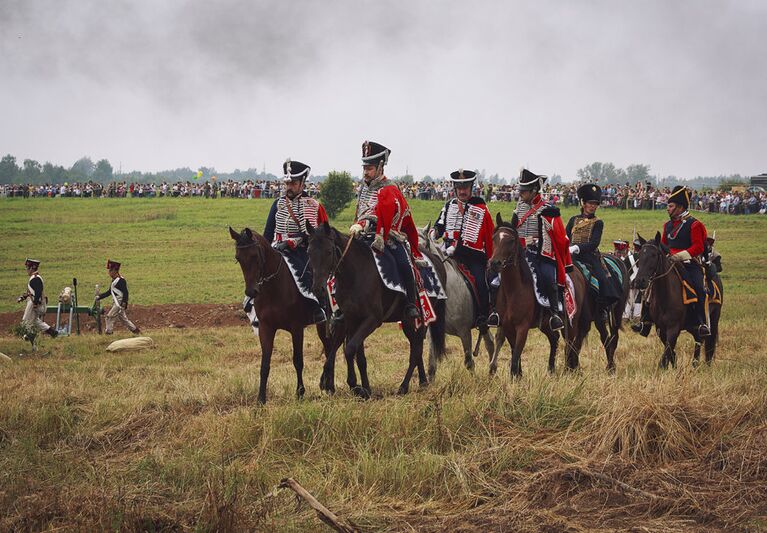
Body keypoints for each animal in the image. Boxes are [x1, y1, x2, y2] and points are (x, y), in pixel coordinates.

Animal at [230, 224, 344, 404]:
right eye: (238, 258)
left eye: (255, 256)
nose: (251, 291)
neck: (274, 288)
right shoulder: (266, 328)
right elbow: (265, 364)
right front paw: (261, 399)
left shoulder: (296, 329)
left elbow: (298, 361)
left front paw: (300, 393)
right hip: (322, 325)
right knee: (328, 348)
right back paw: (328, 386)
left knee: (332, 348)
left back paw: (330, 387)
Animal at [306, 218, 448, 396]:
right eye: (309, 252)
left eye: (329, 251)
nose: (318, 289)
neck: (355, 273)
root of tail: (436, 261)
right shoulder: (351, 319)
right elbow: (356, 354)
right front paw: (361, 387)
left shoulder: (372, 320)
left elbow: (349, 349)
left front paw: (358, 387)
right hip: (406, 321)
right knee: (416, 347)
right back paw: (422, 382)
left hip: (420, 320)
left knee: (416, 349)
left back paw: (403, 387)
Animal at [416, 222, 496, 380]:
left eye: (423, 247)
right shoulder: (432, 332)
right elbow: (431, 365)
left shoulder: (464, 331)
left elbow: (469, 362)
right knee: (490, 343)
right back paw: (491, 373)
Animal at [492, 214, 588, 376]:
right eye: (494, 238)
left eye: (511, 240)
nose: (494, 263)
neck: (513, 290)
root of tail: (577, 272)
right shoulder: (507, 326)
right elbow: (514, 354)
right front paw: (518, 376)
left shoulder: (522, 327)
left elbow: (516, 356)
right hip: (545, 324)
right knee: (554, 339)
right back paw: (551, 369)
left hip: (571, 321)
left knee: (570, 344)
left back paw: (568, 370)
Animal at [632, 233, 724, 366]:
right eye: (639, 255)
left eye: (654, 255)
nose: (639, 281)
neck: (665, 296)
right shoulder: (661, 329)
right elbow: (670, 353)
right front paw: (675, 367)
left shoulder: (673, 328)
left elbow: (665, 358)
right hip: (692, 325)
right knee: (698, 339)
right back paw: (694, 364)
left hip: (714, 317)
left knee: (708, 346)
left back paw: (706, 365)